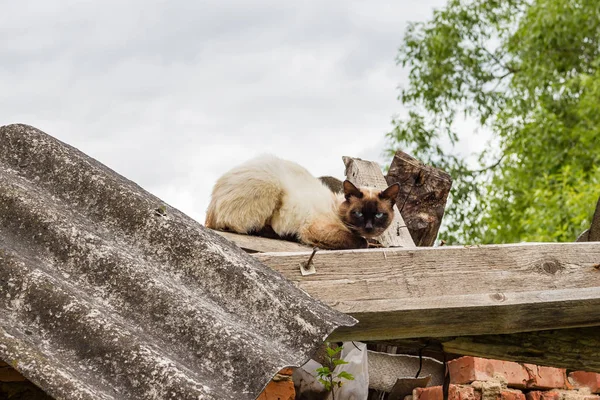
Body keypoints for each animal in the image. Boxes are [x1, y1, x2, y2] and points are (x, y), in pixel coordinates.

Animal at [205, 155, 398, 248]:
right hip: (270, 181)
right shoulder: (317, 229)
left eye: (379, 215)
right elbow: (360, 241)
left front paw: (376, 242)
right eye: (358, 213)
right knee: (243, 226)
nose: (369, 228)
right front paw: (367, 242)